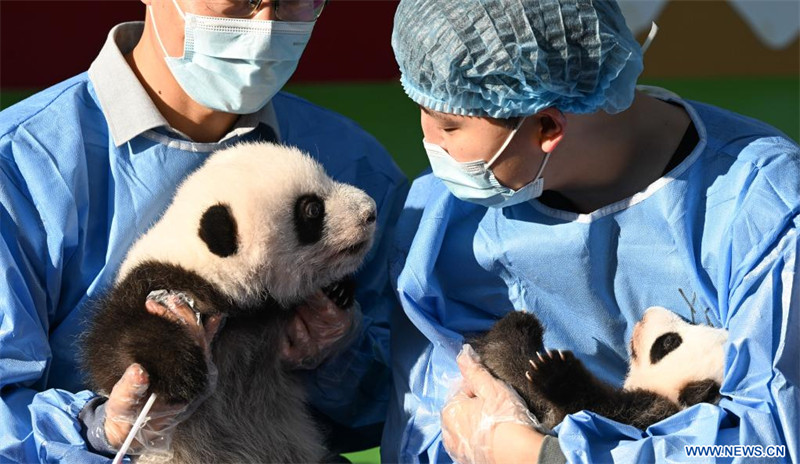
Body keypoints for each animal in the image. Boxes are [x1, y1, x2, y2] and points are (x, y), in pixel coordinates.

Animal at [472, 306, 728, 430]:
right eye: (694, 322)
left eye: (668, 342)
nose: (647, 313)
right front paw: (521, 324)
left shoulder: (646, 414)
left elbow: (585, 408)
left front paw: (557, 374)